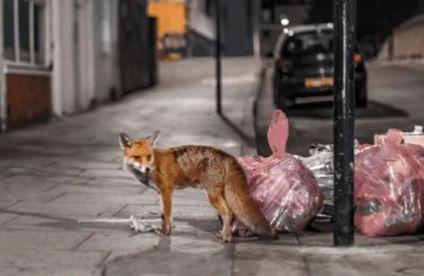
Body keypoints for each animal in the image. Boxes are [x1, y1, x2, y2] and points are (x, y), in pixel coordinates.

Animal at [117, 132, 274, 242]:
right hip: (223, 194)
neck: (155, 164)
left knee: (228, 212)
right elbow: (165, 215)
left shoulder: (166, 190)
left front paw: (166, 233)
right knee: (233, 214)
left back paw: (226, 238)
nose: (147, 168)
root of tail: (228, 155)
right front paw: (167, 230)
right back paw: (227, 234)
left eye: (148, 156)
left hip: (212, 195)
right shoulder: (160, 193)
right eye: (137, 157)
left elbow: (165, 215)